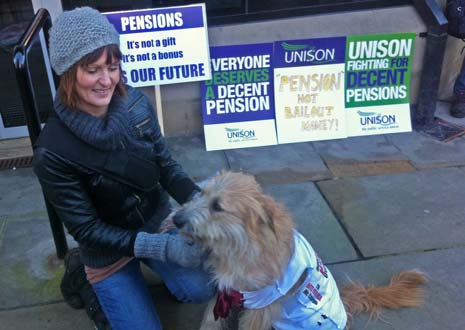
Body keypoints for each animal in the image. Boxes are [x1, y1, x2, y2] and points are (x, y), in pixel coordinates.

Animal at [169, 171, 424, 328]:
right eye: (201, 193)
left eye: (218, 206)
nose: (176, 220)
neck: (240, 246)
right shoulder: (224, 290)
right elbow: (210, 321)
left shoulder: (261, 306)